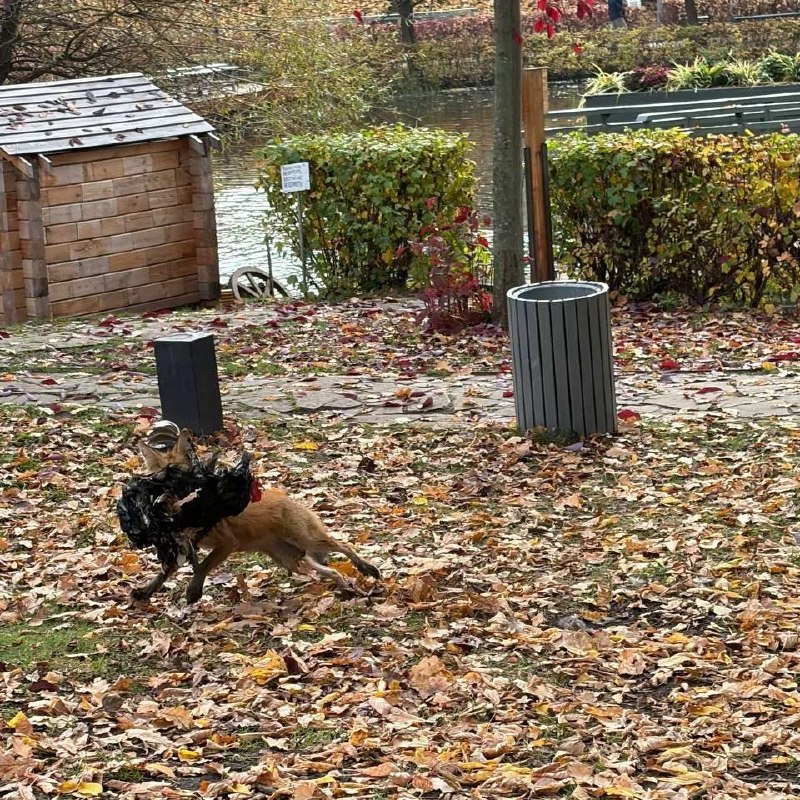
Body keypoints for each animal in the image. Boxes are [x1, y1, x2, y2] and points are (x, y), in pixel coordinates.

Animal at [131, 429, 381, 604]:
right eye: (157, 479)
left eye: (179, 478)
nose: (162, 501)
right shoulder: (181, 544)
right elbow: (165, 571)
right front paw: (146, 591)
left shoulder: (227, 544)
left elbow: (202, 566)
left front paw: (193, 591)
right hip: (291, 559)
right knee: (329, 571)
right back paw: (344, 585)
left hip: (307, 541)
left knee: (343, 545)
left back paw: (366, 568)